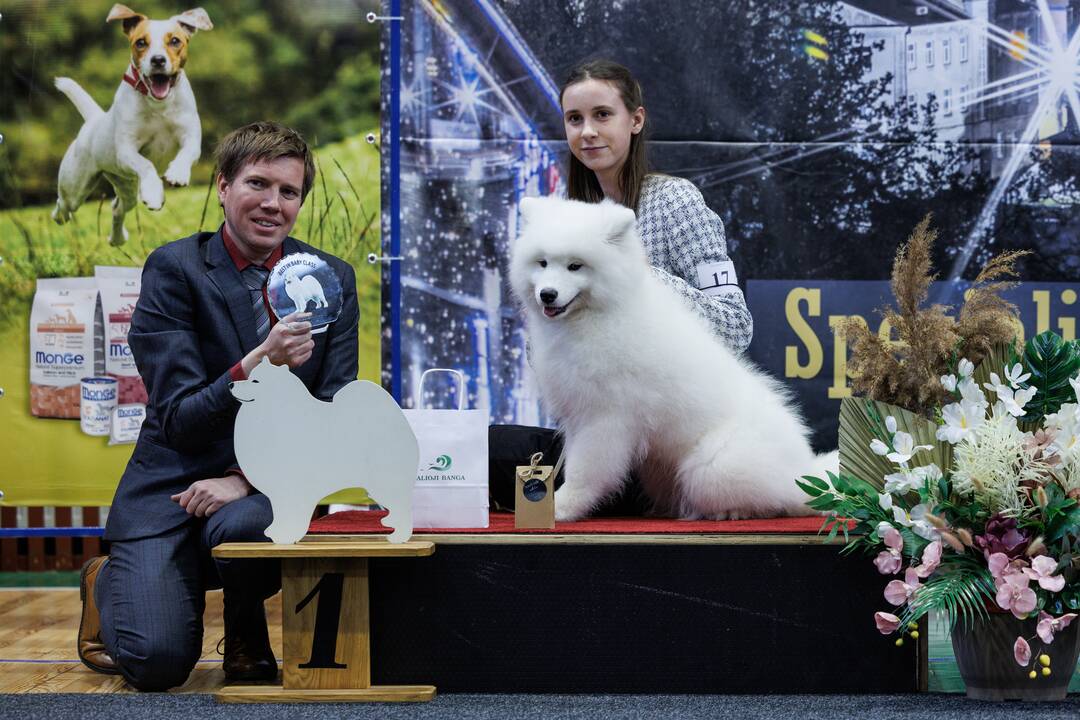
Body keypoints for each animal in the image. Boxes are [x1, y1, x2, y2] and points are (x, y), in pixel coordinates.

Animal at [507, 197, 833, 524]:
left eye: (575, 266)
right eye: (542, 263)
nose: (547, 294)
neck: (597, 316)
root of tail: (804, 473)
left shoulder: (604, 419)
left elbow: (584, 470)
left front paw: (561, 507)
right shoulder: (577, 413)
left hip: (711, 467)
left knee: (778, 500)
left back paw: (732, 511)